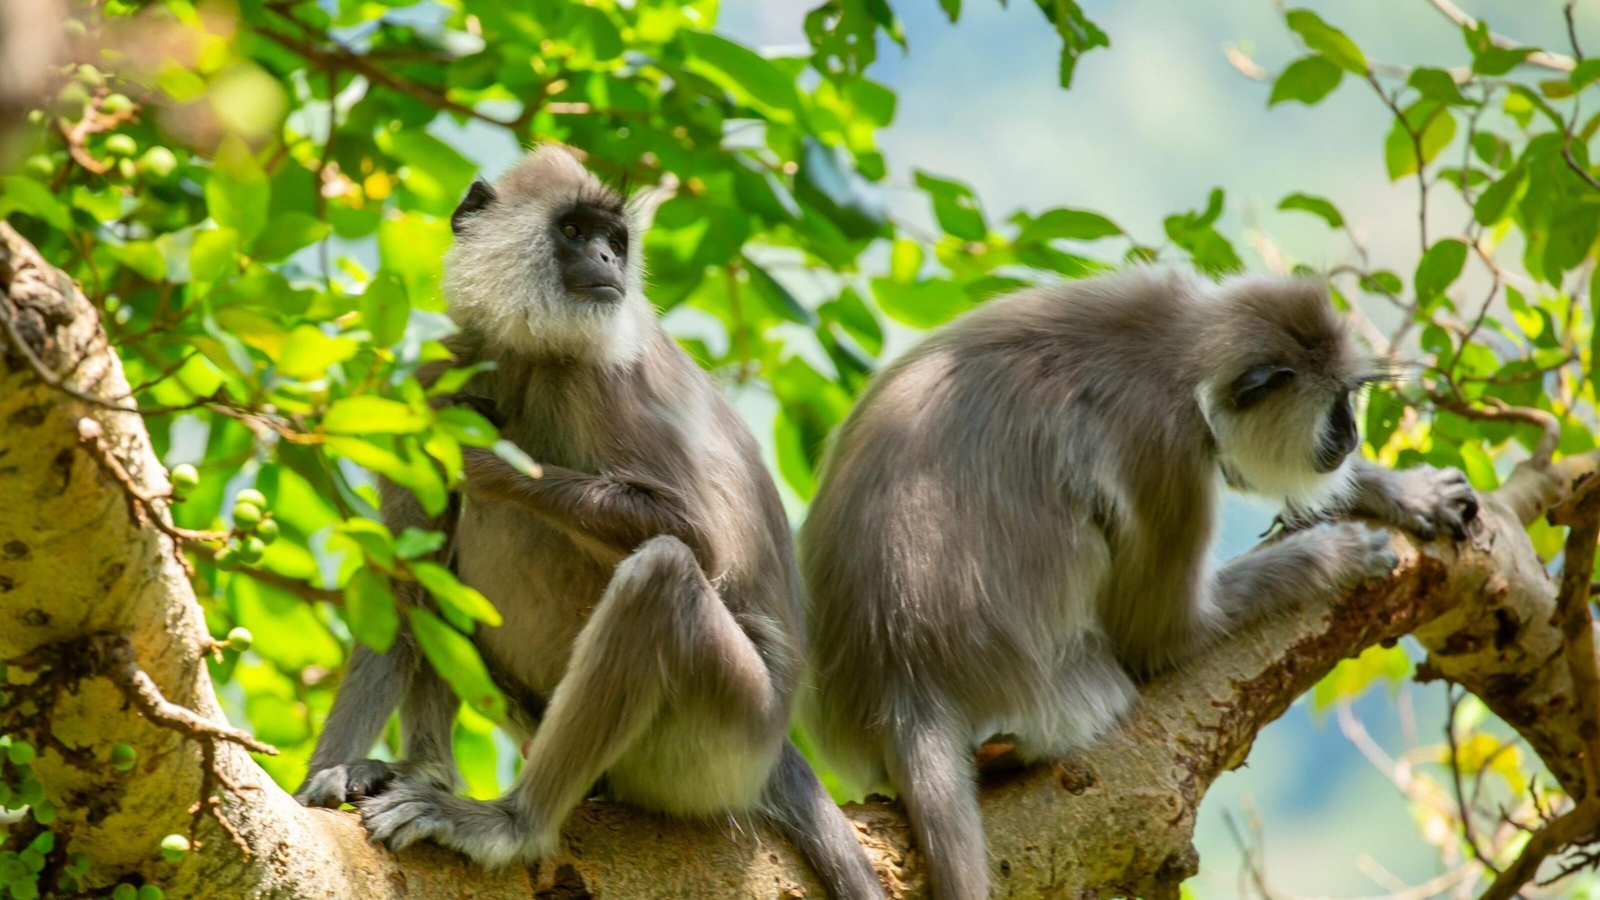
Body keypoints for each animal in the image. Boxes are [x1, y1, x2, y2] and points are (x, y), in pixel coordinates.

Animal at [293, 145, 884, 900]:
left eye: (615, 241)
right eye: (574, 232)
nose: (605, 259)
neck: (527, 353)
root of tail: (776, 747)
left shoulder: (604, 374)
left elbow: (699, 539)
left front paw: (483, 457)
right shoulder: (431, 378)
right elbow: (400, 576)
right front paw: (327, 774)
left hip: (724, 735)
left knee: (661, 574)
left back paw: (511, 825)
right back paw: (423, 771)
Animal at [795, 268, 1479, 900]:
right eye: (1333, 406)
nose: (1351, 436)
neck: (1177, 350)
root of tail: (904, 681)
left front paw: (1401, 491)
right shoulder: (1166, 445)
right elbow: (1164, 637)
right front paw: (1329, 556)